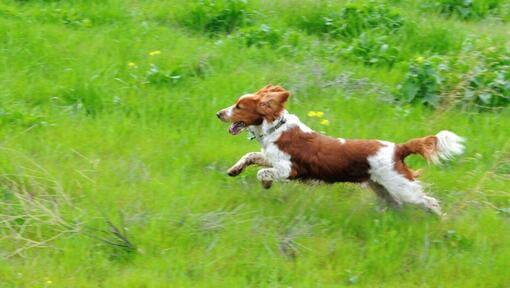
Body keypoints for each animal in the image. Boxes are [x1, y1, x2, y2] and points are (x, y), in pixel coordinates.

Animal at [216, 84, 466, 215]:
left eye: (239, 106)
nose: (219, 113)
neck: (275, 127)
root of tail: (398, 148)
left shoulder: (289, 169)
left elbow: (262, 172)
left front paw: (266, 184)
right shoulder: (271, 157)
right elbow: (251, 156)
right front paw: (234, 170)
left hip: (402, 187)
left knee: (431, 202)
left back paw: (442, 223)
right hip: (382, 188)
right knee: (398, 205)